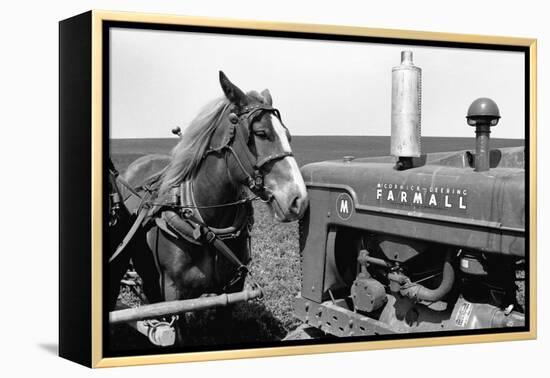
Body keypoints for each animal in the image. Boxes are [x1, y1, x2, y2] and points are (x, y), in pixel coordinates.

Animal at [113, 71, 310, 308]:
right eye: (261, 133)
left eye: (288, 135)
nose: (298, 199)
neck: (207, 225)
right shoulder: (172, 294)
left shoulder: (233, 288)